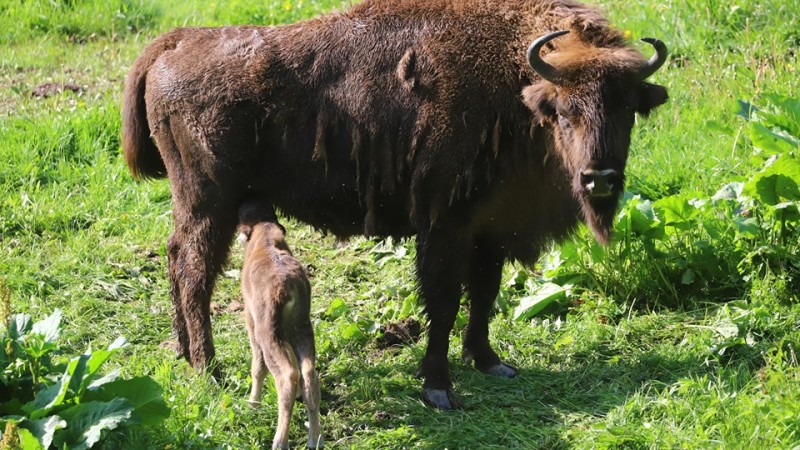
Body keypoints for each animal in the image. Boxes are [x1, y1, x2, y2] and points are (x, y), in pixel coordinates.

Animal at [120, 0, 668, 410]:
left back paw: (184, 354)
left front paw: (490, 362)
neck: (518, 82)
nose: (599, 179)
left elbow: (484, 296)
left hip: (197, 207)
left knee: (176, 259)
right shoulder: (446, 227)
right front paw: (439, 388)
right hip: (208, 203)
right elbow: (444, 303)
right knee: (195, 273)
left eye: (628, 108)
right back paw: (208, 369)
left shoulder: (489, 230)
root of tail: (176, 41)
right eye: (564, 110)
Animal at [238, 201, 322, 450]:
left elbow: (257, 366)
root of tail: (288, 288)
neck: (264, 236)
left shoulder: (251, 320)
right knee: (308, 373)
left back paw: (279, 441)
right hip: (302, 328)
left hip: (269, 334)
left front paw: (252, 404)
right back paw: (315, 439)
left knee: (286, 375)